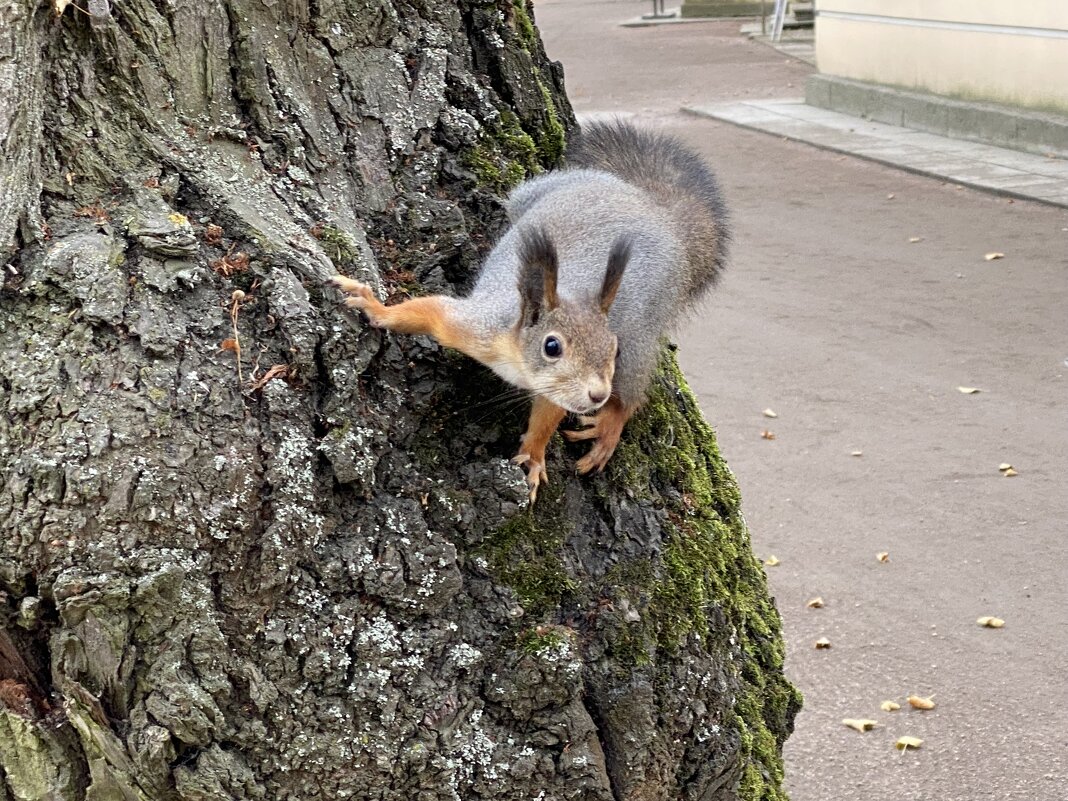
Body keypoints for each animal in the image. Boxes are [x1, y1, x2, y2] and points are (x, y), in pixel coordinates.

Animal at [331, 119, 729, 500]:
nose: (597, 395)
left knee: (634, 391)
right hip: (533, 193)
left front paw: (535, 456)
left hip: (644, 323)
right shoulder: (475, 325)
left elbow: (547, 417)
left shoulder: (560, 386)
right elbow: (427, 312)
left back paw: (608, 426)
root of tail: (654, 209)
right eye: (552, 346)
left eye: (612, 349)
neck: (518, 360)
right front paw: (376, 307)